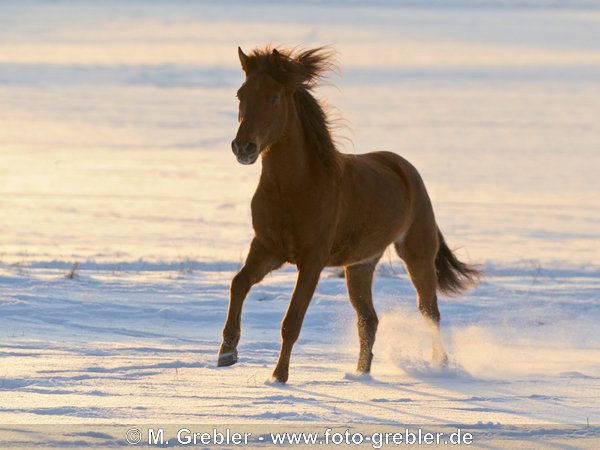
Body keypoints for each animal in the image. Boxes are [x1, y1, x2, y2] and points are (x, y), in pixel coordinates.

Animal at [216, 46, 478, 384]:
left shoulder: (312, 261)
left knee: (429, 311)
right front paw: (227, 353)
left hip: (416, 255)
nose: (243, 147)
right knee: (369, 320)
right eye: (241, 94)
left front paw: (278, 377)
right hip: (360, 266)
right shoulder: (267, 249)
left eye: (273, 96)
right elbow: (238, 283)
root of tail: (403, 167)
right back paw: (360, 374)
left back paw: (440, 365)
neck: (292, 188)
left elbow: (292, 320)